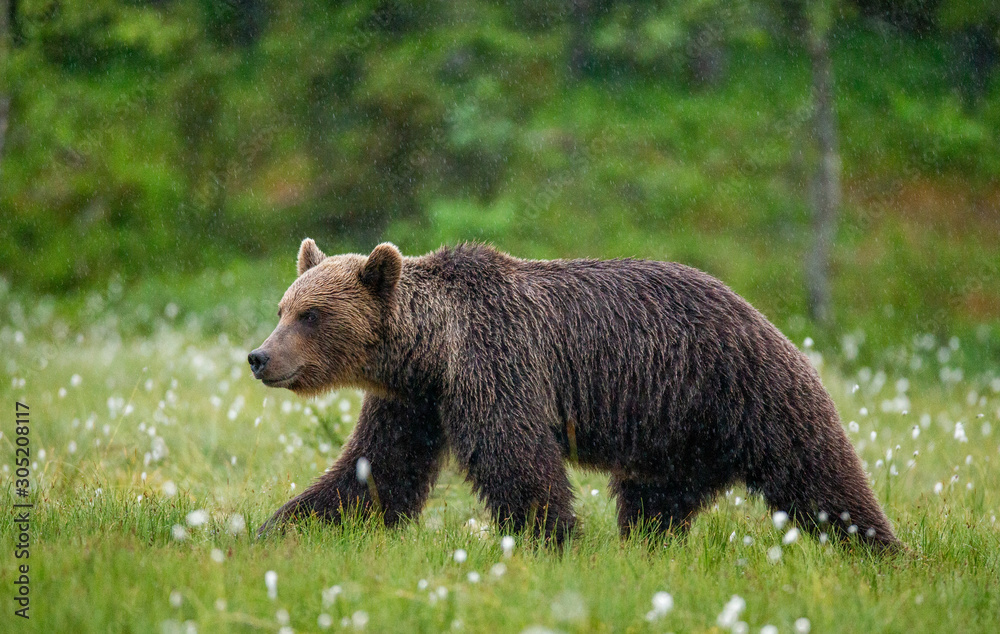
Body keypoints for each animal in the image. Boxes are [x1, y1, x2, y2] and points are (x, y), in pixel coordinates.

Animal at [248, 237, 900, 548]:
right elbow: (376, 472)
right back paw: (645, 548)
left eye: (310, 315)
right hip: (674, 436)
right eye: (282, 308)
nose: (260, 357)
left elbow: (518, 465)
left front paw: (553, 539)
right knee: (656, 502)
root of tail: (767, 319)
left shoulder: (498, 365)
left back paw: (883, 550)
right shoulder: (414, 403)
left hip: (746, 393)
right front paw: (282, 527)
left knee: (820, 477)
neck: (434, 353)